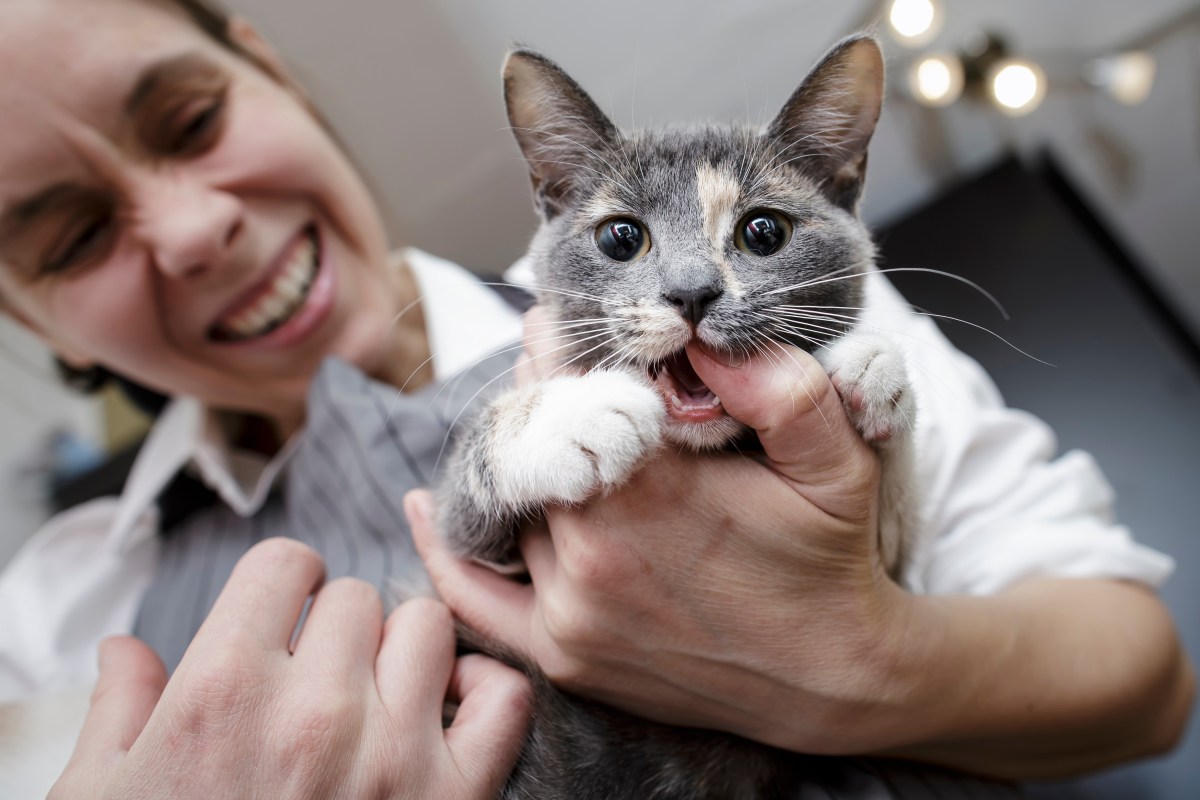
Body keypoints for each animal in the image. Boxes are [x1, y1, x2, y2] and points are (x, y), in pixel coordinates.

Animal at [436, 32, 912, 800]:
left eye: (763, 231)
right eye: (621, 238)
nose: (692, 292)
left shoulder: (896, 571)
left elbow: (898, 531)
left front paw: (871, 363)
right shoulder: (467, 551)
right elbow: (465, 499)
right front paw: (580, 413)